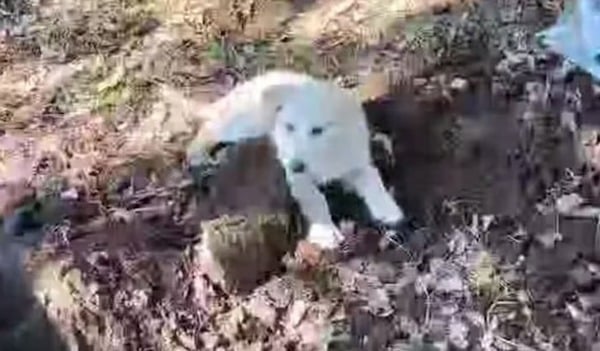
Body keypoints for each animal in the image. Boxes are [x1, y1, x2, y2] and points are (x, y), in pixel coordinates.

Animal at [185, 70, 406, 249]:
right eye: (289, 127)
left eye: (317, 130)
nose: (296, 165)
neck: (325, 154)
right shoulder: (296, 176)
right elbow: (315, 198)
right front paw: (325, 233)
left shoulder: (355, 161)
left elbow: (373, 179)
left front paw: (387, 208)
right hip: (247, 123)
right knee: (209, 129)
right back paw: (197, 155)